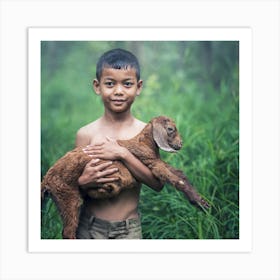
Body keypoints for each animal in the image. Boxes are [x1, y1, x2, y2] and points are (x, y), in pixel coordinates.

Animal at [40, 116, 209, 238]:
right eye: (170, 129)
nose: (181, 144)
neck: (144, 143)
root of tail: (46, 181)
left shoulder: (156, 161)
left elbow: (180, 174)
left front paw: (201, 203)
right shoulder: (151, 162)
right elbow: (175, 179)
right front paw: (199, 203)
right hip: (66, 195)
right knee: (68, 231)